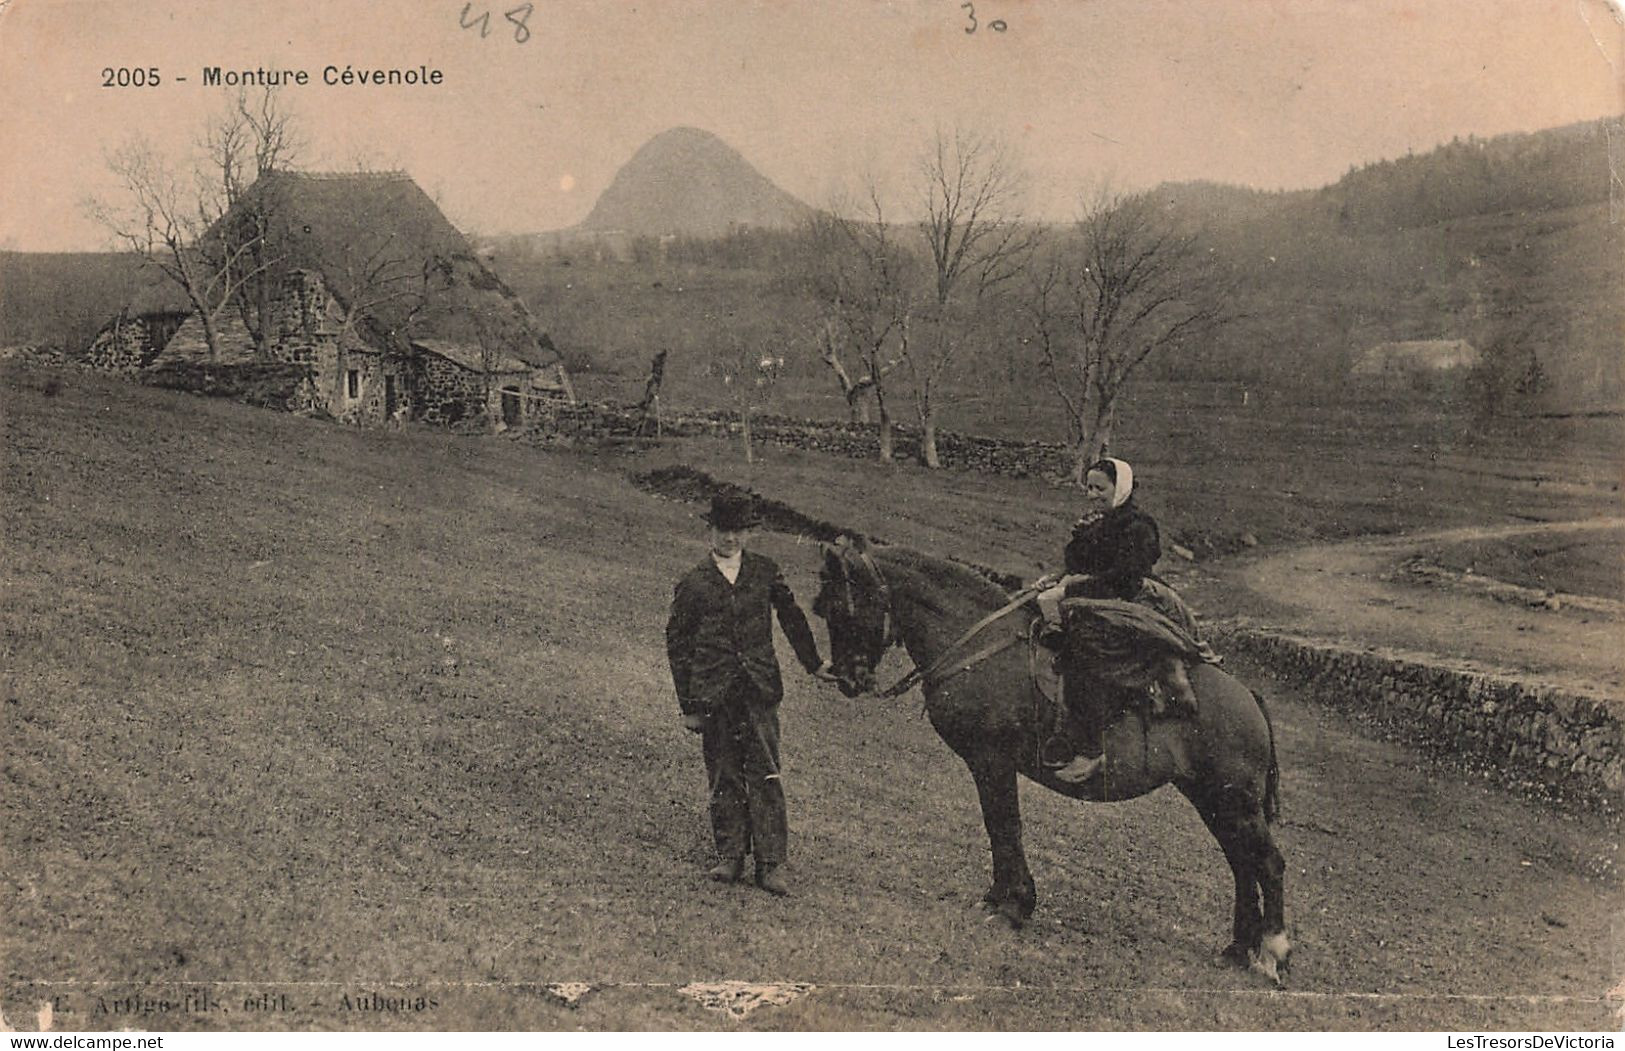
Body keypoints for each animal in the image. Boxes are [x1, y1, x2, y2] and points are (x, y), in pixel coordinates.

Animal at [812, 542, 1293, 987]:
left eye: (841, 607)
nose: (848, 678)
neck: (978, 646)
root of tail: (1248, 696)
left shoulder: (992, 759)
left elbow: (1004, 825)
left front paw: (1012, 904)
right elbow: (998, 827)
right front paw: (1001, 898)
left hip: (1234, 803)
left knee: (1267, 864)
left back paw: (1271, 952)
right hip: (1213, 800)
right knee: (1242, 864)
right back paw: (1238, 948)